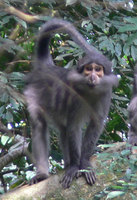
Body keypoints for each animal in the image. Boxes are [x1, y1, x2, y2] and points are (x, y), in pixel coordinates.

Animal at [23, 18, 117, 188]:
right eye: (89, 69)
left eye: (98, 70)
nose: (92, 77)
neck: (90, 91)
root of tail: (47, 67)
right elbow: (74, 125)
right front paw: (74, 167)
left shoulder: (106, 94)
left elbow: (95, 123)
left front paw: (84, 164)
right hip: (35, 92)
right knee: (40, 124)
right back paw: (43, 173)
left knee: (63, 129)